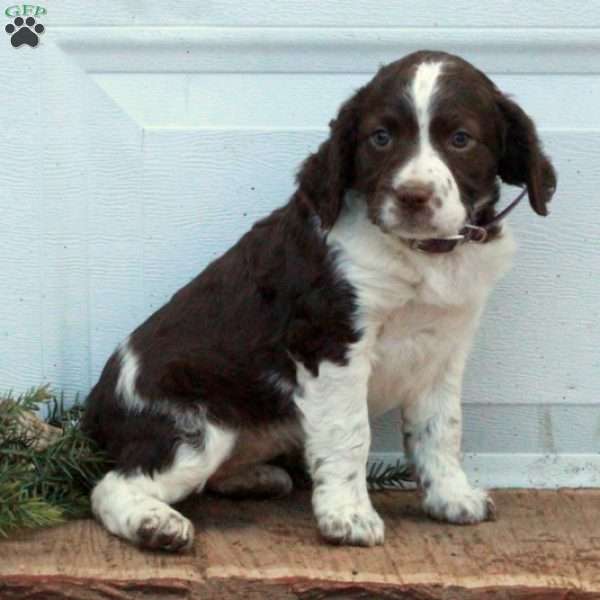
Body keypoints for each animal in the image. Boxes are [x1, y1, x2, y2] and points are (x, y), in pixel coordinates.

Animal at [82, 49, 556, 552]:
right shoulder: (332, 343)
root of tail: (96, 404)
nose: (413, 196)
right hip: (196, 428)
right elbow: (350, 434)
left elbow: (441, 428)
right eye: (381, 137)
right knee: (112, 485)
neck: (420, 256)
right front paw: (347, 517)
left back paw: (256, 478)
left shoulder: (442, 350)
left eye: (461, 139)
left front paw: (451, 497)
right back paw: (156, 525)